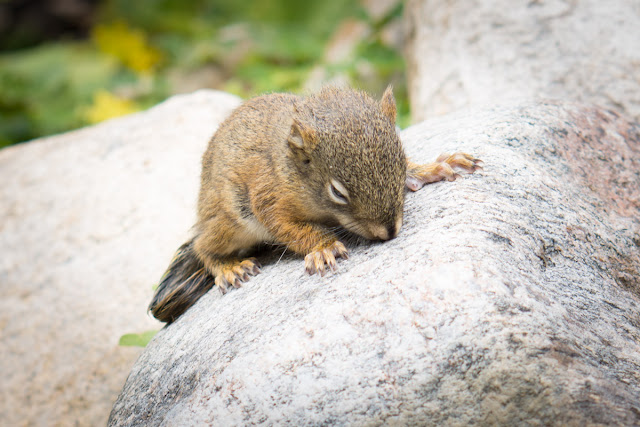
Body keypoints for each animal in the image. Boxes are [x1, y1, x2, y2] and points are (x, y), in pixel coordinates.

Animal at [150, 86, 480, 320]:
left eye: (400, 163)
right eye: (338, 192)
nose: (389, 232)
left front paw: (431, 168)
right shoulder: (268, 198)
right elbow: (290, 228)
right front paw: (323, 247)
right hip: (230, 223)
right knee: (203, 246)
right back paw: (228, 267)